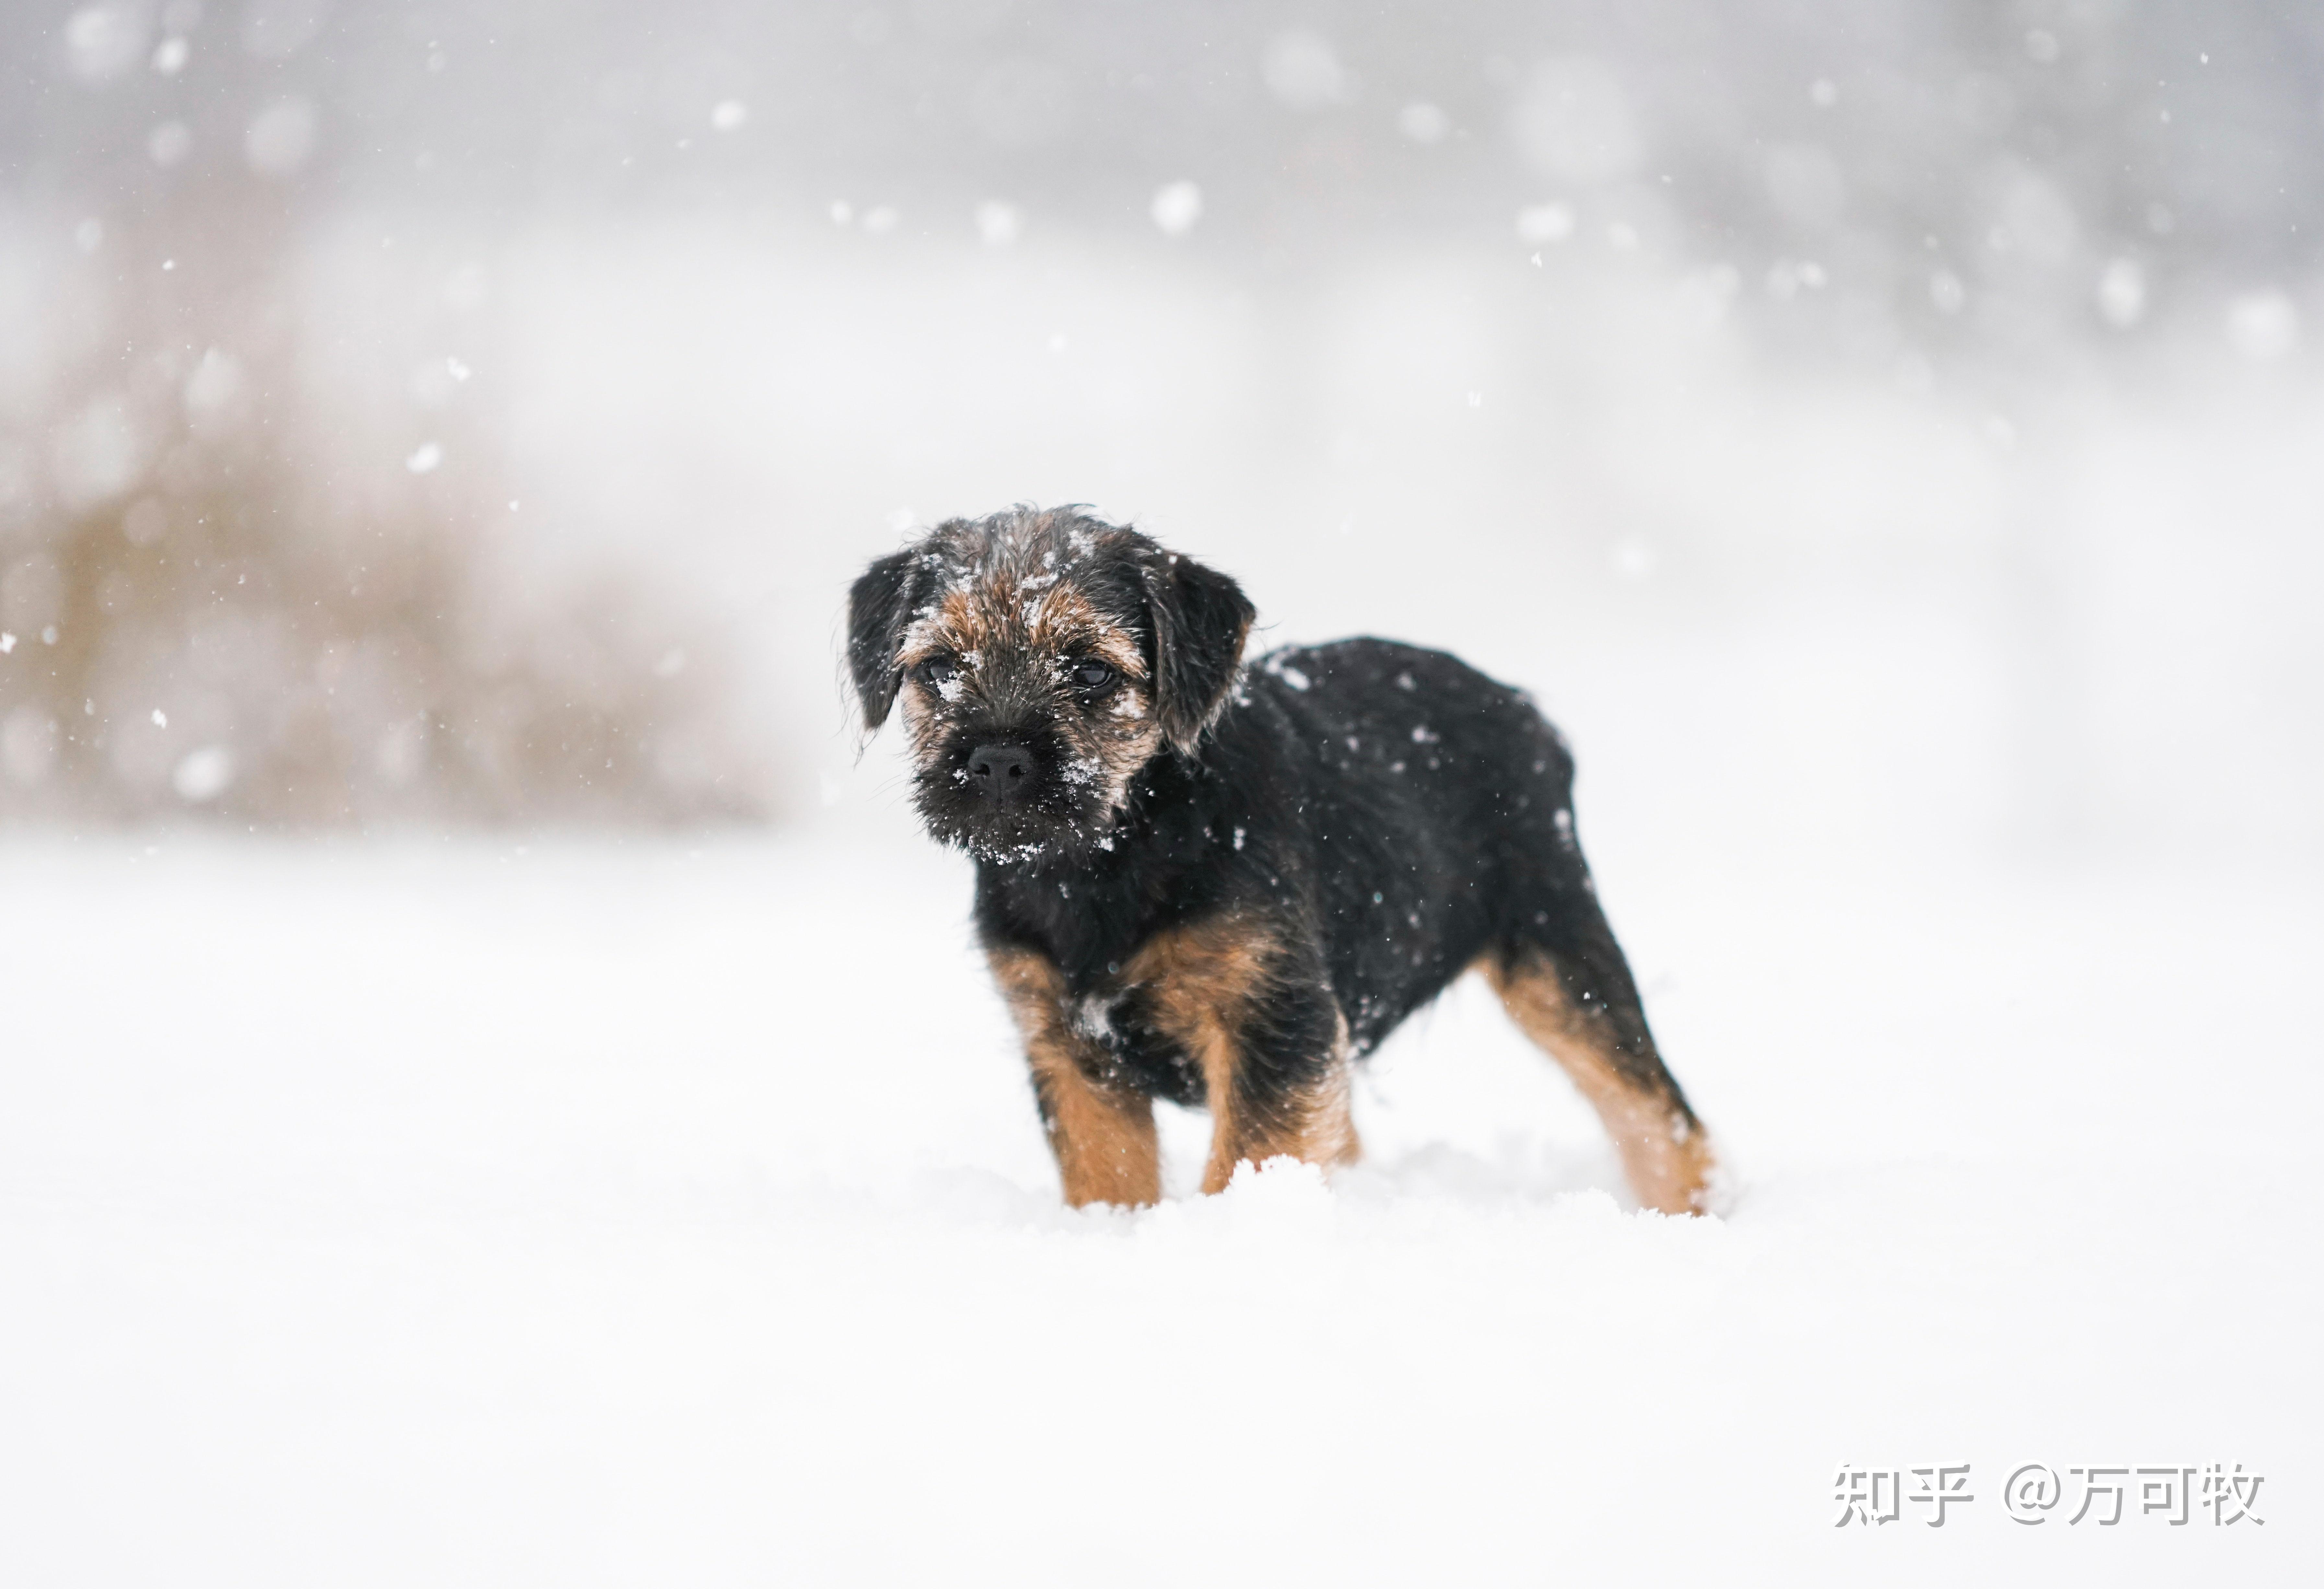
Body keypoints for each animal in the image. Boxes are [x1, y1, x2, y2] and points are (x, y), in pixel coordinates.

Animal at [846, 508, 1720, 1217]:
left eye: (1090, 669)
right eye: (939, 667)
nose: (996, 760)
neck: (1109, 857)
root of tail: (1524, 708)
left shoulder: (1272, 1018)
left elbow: (1251, 1155)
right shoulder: (1070, 1050)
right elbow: (1108, 1173)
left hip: (1558, 948)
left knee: (1657, 1113)